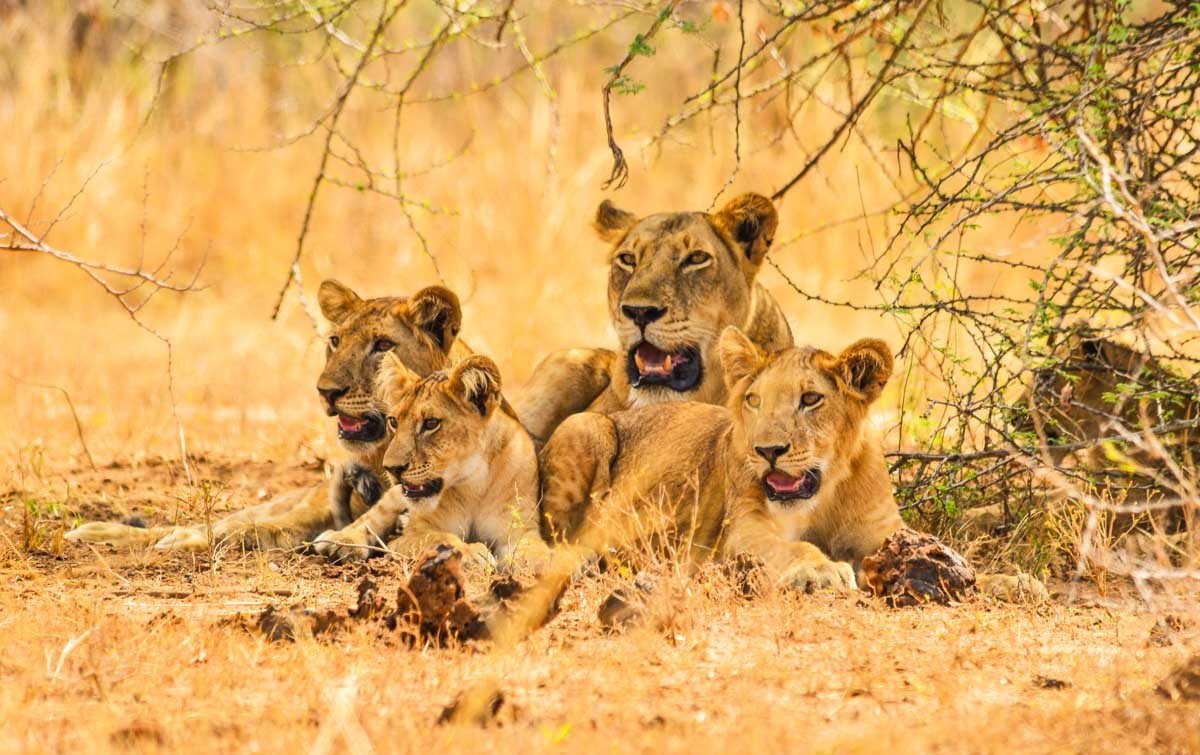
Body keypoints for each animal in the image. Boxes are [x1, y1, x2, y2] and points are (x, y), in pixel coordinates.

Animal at [310, 353, 549, 571]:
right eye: (394, 422)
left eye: (431, 423)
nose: (391, 468)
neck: (473, 483)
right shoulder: (412, 534)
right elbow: (441, 539)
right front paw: (473, 553)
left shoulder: (519, 530)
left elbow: (535, 550)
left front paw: (540, 565)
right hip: (393, 499)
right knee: (369, 520)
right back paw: (339, 542)